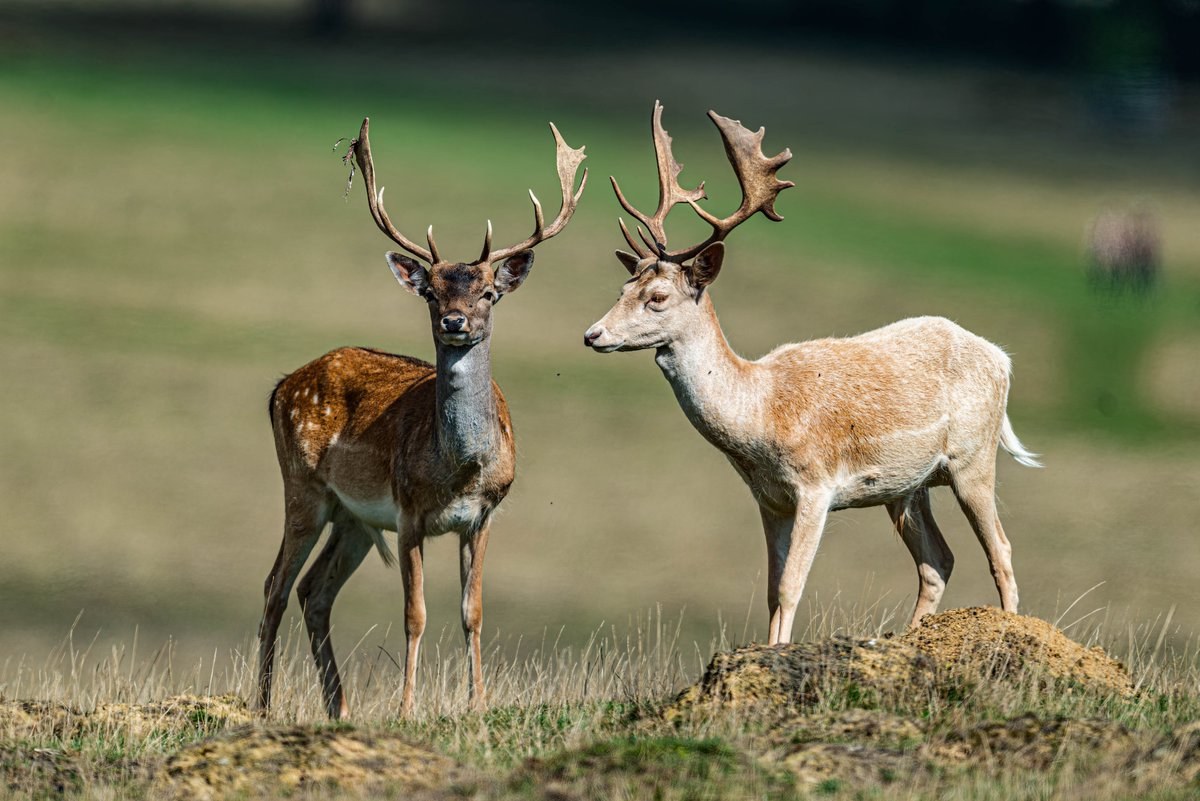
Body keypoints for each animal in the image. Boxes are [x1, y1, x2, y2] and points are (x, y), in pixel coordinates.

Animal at [258, 115, 585, 714]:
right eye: (430, 292)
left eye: (488, 292)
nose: (455, 321)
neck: (460, 470)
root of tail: (278, 389)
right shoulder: (409, 511)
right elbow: (415, 614)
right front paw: (407, 707)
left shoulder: (484, 515)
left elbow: (471, 613)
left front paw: (478, 703)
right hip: (303, 487)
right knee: (275, 585)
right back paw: (263, 704)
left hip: (352, 517)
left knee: (314, 591)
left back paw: (340, 707)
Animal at [585, 104, 1036, 642]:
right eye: (621, 288)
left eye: (657, 297)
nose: (592, 334)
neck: (759, 417)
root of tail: (1002, 358)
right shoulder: (769, 500)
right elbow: (769, 592)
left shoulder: (816, 487)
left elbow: (790, 588)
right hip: (908, 487)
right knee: (937, 561)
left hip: (973, 457)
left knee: (1002, 551)